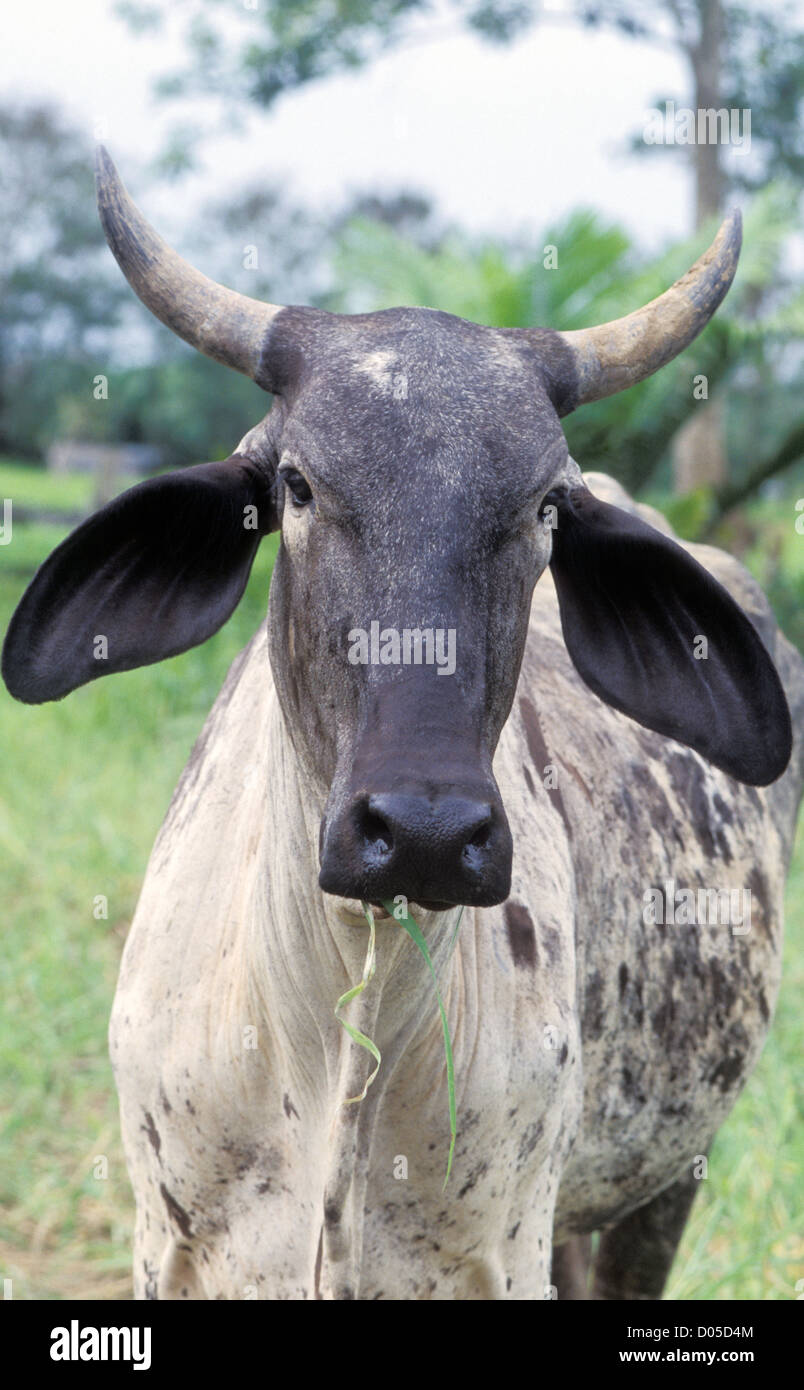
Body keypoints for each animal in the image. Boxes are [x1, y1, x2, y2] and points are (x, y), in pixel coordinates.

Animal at [3, 152, 795, 1301]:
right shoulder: (170, 1248)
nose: (424, 832)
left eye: (546, 507)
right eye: (295, 484)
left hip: (662, 1183)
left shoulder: (506, 1254)